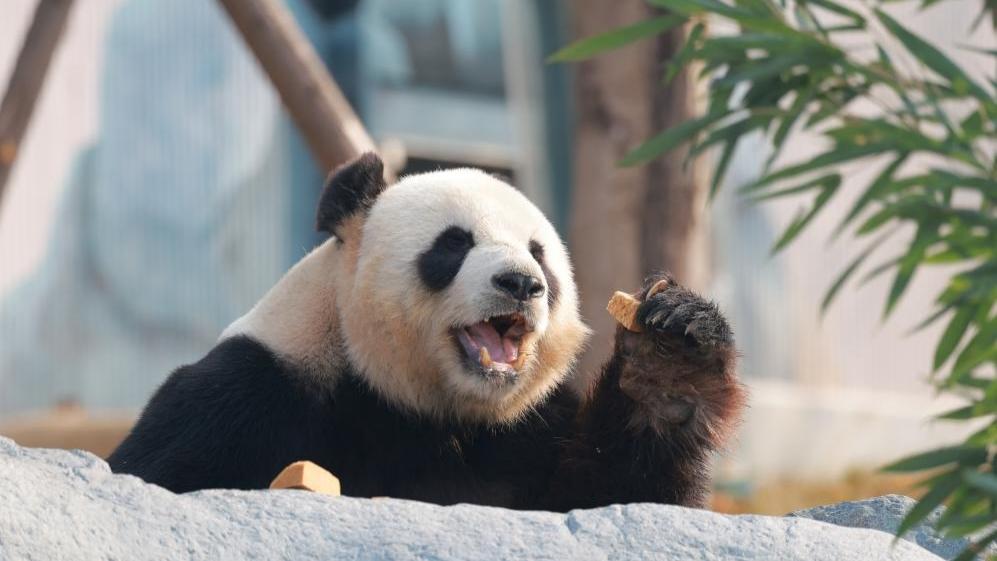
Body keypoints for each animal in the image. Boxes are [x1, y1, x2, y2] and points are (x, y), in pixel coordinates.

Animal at [109, 153, 746, 510]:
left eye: (539, 254)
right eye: (453, 244)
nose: (521, 283)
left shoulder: (530, 429)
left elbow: (616, 496)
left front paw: (671, 360)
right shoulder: (250, 393)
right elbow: (161, 473)